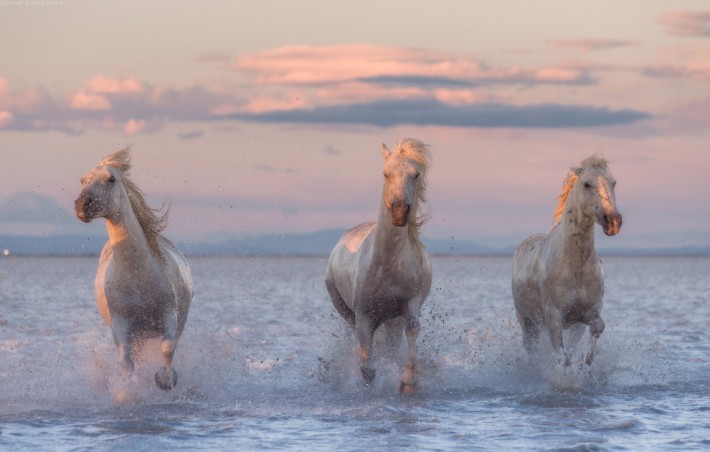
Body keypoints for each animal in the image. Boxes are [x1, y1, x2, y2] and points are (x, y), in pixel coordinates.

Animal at [74, 147, 195, 388]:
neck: (137, 276)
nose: (82, 205)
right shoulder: (122, 326)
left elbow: (167, 348)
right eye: (83, 180)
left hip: (179, 321)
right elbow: (127, 363)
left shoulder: (169, 315)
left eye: (111, 179)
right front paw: (126, 389)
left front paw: (165, 380)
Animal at [328, 138, 434, 396]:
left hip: (392, 320)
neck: (387, 266)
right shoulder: (364, 316)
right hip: (344, 308)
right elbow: (368, 368)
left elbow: (412, 329)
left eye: (415, 174)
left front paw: (408, 382)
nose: (399, 211)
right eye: (385, 173)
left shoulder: (411, 302)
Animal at [512, 155, 624, 368]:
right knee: (531, 348)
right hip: (528, 323)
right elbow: (562, 359)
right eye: (587, 184)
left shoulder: (586, 314)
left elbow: (598, 327)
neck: (574, 266)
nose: (613, 222)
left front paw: (587, 360)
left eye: (613, 183)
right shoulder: (553, 316)